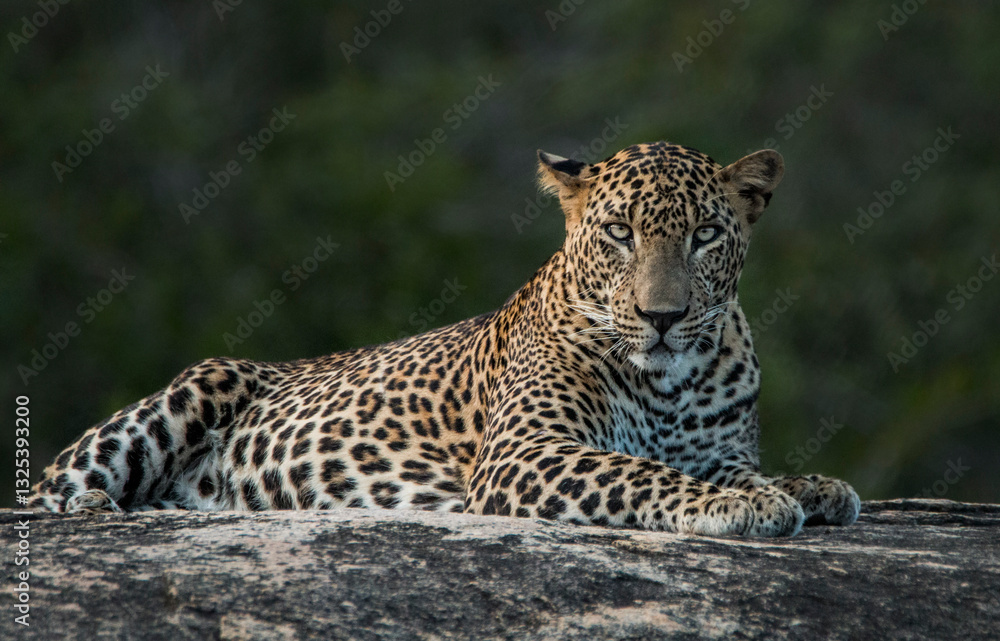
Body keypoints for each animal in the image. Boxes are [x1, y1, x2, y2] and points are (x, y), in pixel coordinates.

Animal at [30, 141, 861, 537]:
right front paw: (747, 506)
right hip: (190, 391)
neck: (669, 379)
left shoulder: (720, 449)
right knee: (47, 487)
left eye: (706, 235)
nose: (662, 316)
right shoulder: (526, 451)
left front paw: (812, 485)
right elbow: (642, 473)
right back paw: (97, 506)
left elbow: (742, 470)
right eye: (620, 234)